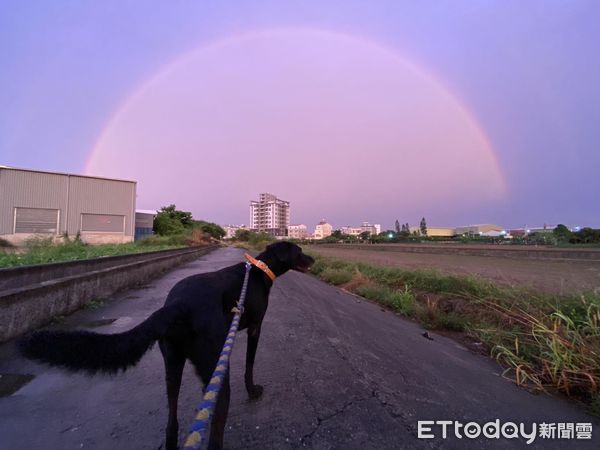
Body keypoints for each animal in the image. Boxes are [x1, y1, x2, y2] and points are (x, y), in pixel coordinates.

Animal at [19, 243, 314, 450]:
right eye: (300, 251)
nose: (313, 259)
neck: (260, 269)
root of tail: (177, 305)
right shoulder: (255, 328)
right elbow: (250, 364)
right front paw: (253, 390)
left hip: (172, 363)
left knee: (172, 419)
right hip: (214, 362)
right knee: (216, 417)